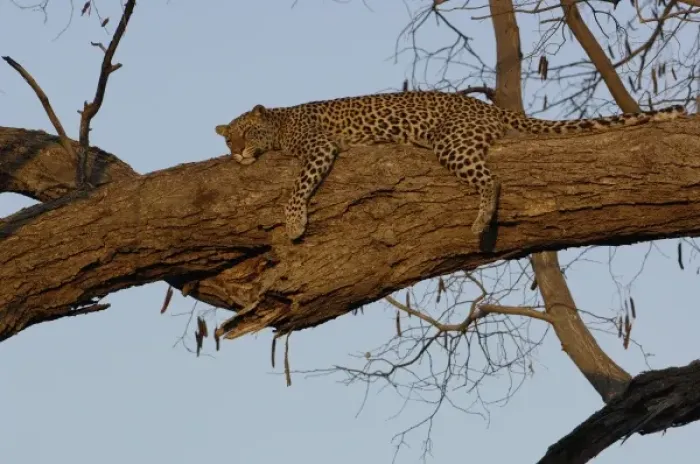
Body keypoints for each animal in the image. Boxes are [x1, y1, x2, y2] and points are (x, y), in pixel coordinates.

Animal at [215, 91, 686, 242]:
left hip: (452, 142)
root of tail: (487, 107)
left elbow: (298, 185)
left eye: (246, 132)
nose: (236, 152)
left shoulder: (318, 147)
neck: (281, 121)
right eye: (227, 138)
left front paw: (294, 223)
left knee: (491, 180)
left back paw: (481, 221)